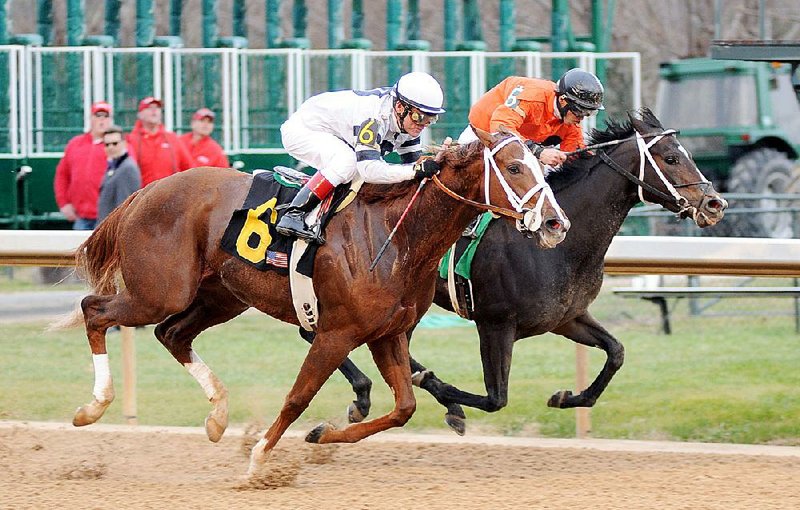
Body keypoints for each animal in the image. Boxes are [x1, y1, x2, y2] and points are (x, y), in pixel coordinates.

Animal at [57, 126, 568, 474]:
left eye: (544, 168)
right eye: (515, 168)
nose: (555, 224)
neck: (397, 235)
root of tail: (146, 189)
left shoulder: (389, 333)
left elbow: (404, 407)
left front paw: (323, 435)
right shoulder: (337, 332)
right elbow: (299, 396)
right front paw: (259, 457)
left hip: (221, 297)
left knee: (171, 334)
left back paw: (217, 416)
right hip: (160, 291)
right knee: (95, 311)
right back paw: (92, 407)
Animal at [318, 109, 724, 432]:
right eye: (671, 158)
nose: (715, 203)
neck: (559, 250)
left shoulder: (566, 317)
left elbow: (616, 352)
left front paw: (565, 397)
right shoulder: (495, 323)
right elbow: (495, 397)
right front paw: (447, 398)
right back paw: (370, 394)